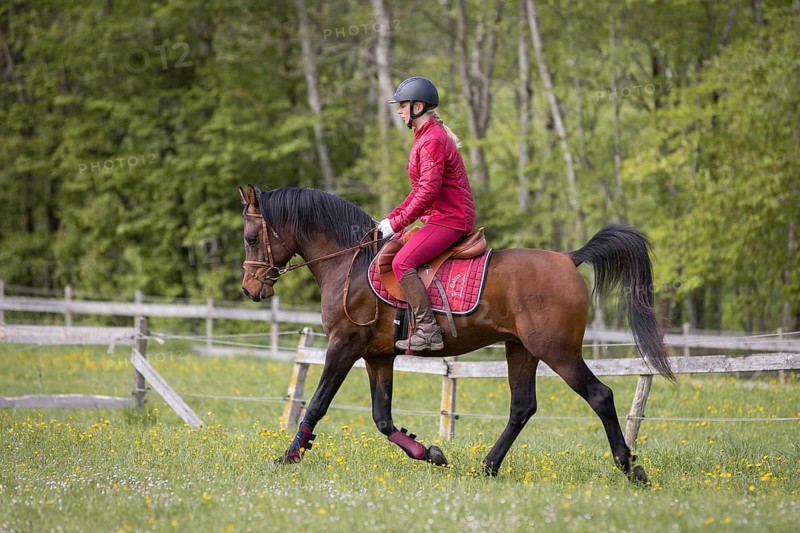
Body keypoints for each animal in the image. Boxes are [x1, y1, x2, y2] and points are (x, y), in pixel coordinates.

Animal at [239, 185, 674, 483]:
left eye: (250, 237)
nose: (249, 288)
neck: (351, 263)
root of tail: (569, 259)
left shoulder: (343, 347)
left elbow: (316, 405)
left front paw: (288, 457)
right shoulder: (378, 356)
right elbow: (382, 418)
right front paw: (428, 452)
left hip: (558, 351)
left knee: (599, 395)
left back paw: (629, 467)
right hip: (521, 349)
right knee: (522, 407)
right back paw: (488, 466)